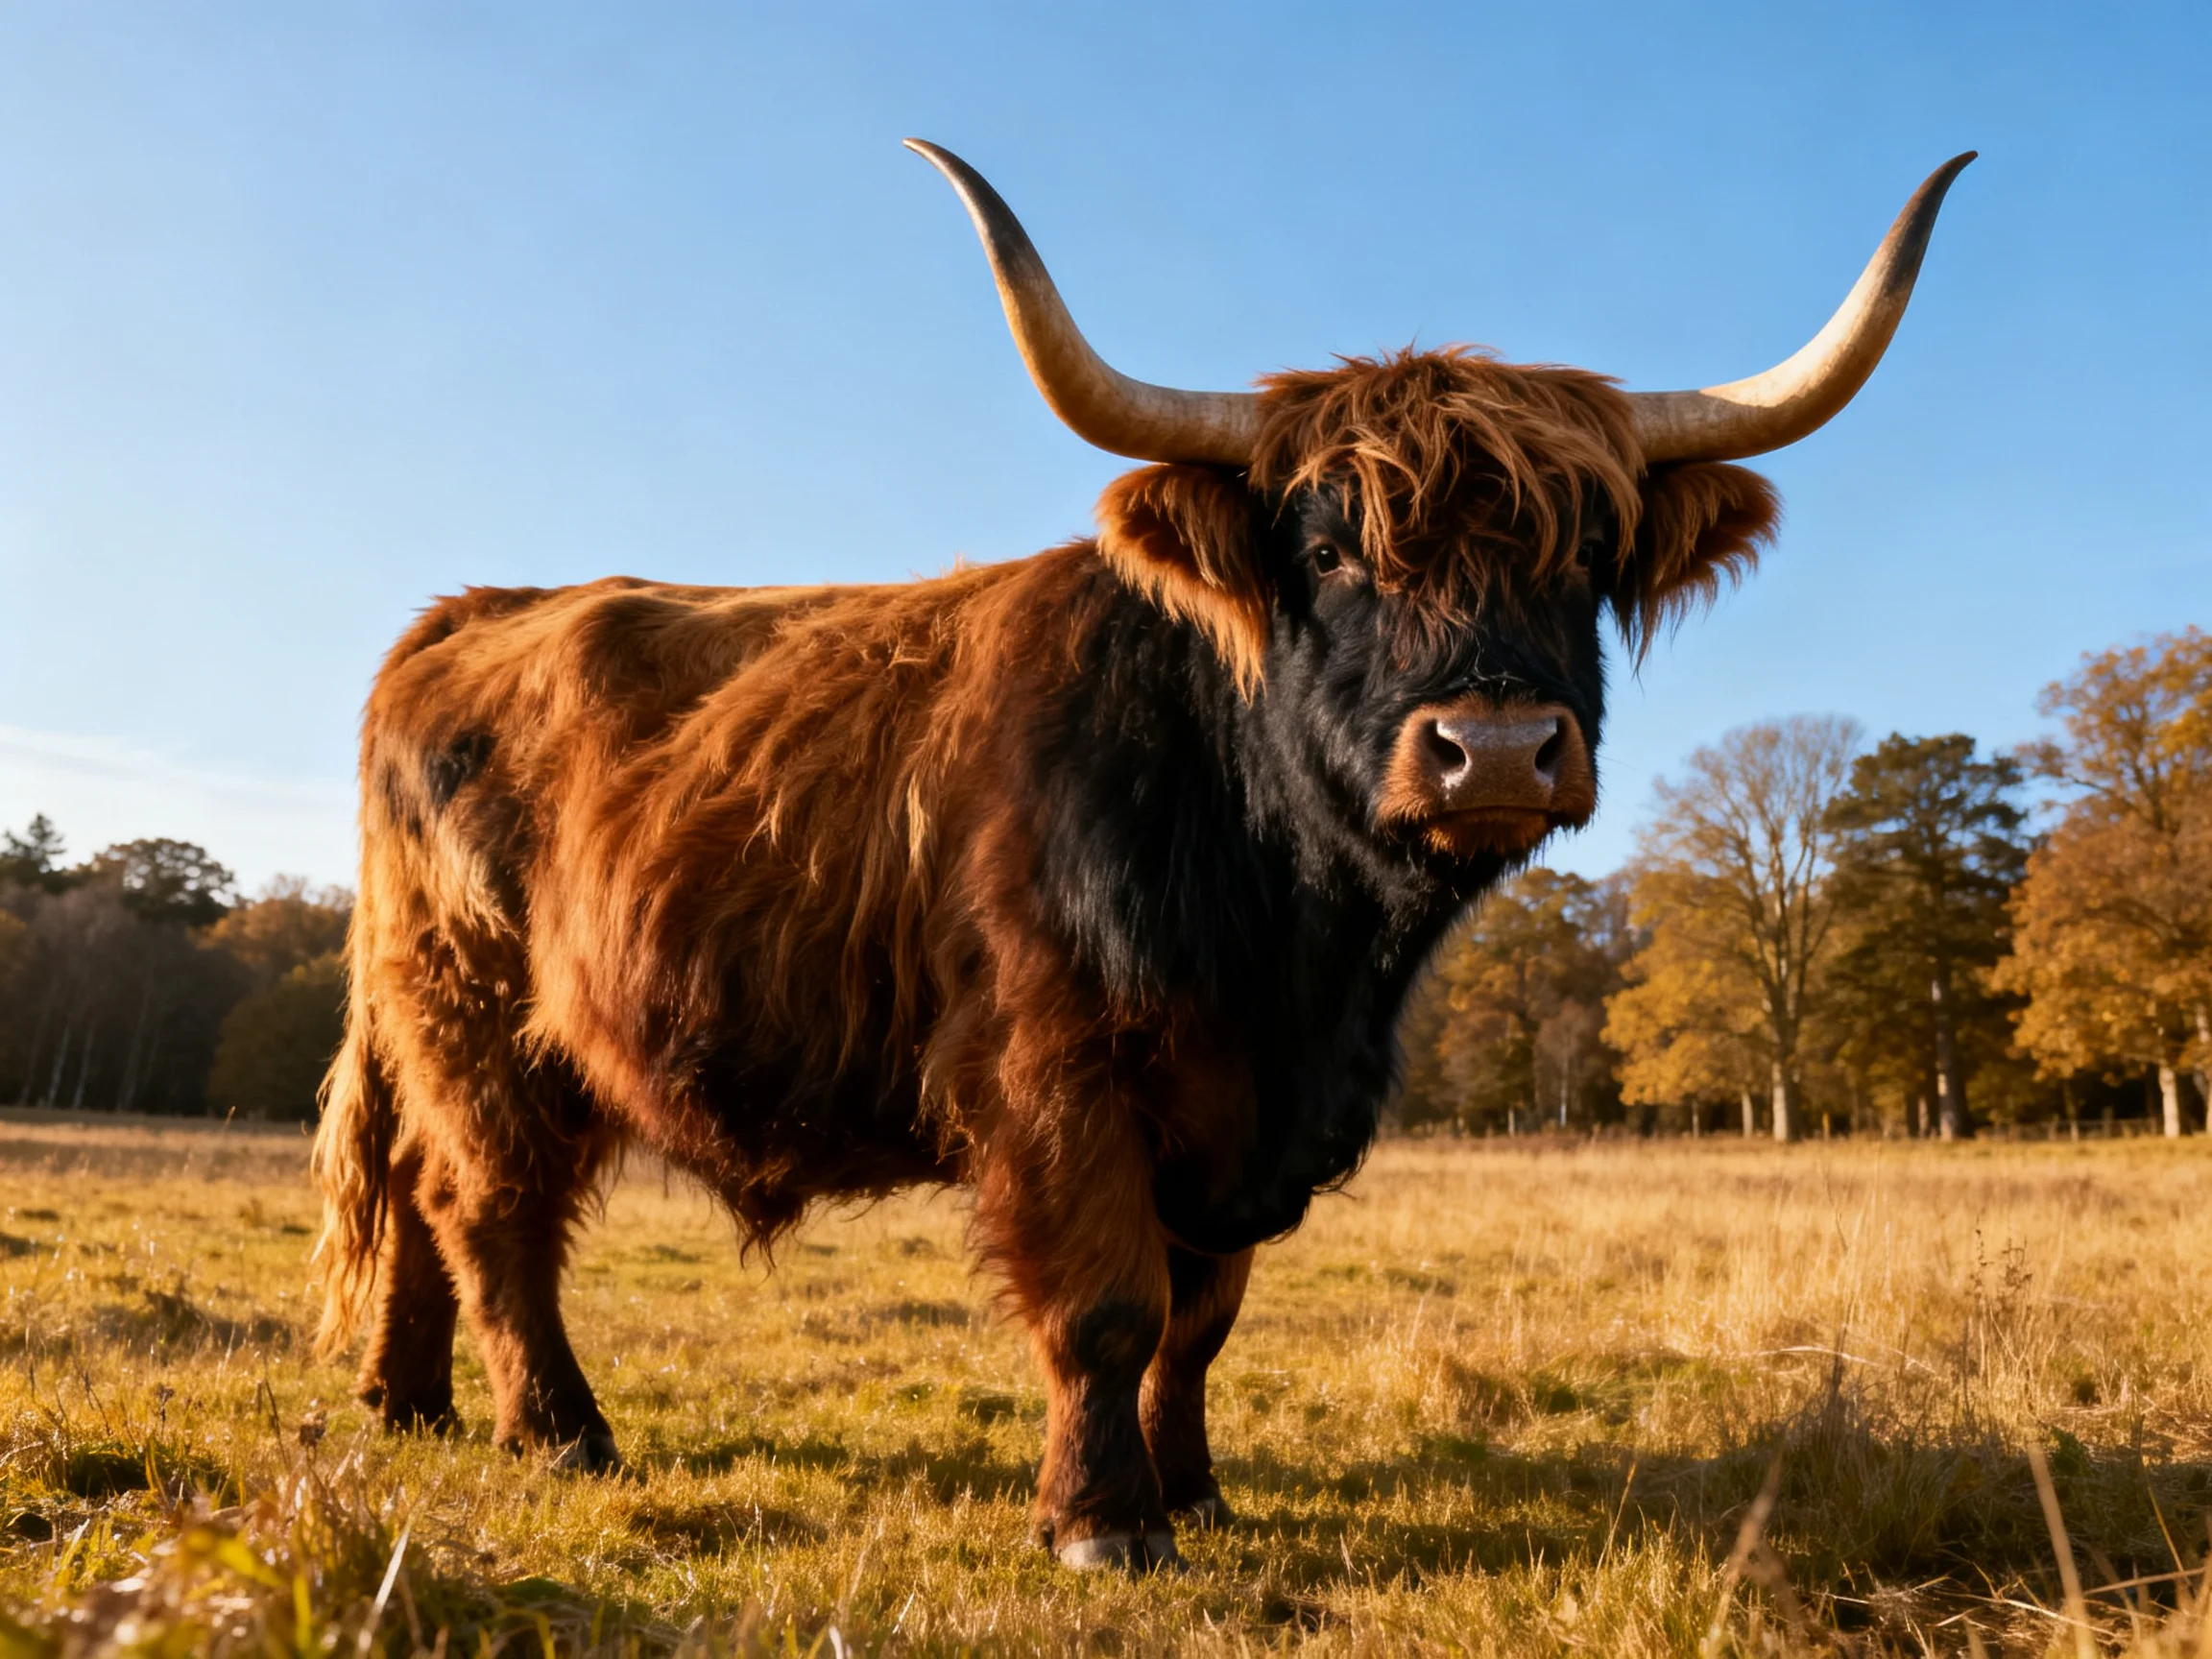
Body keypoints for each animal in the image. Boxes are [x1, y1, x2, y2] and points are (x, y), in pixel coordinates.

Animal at [313, 140, 1971, 1571]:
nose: (1496, 748)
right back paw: (560, 1432)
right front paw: (1105, 1521)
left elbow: (1201, 1318)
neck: (1297, 945)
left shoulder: (1254, 1115)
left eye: (1584, 551)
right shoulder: (1055, 1067)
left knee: (414, 1191)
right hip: (478, 1015)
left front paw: (1198, 1491)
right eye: (1327, 552)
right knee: (488, 1207)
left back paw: (408, 1403)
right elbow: (1110, 1305)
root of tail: (471, 608)